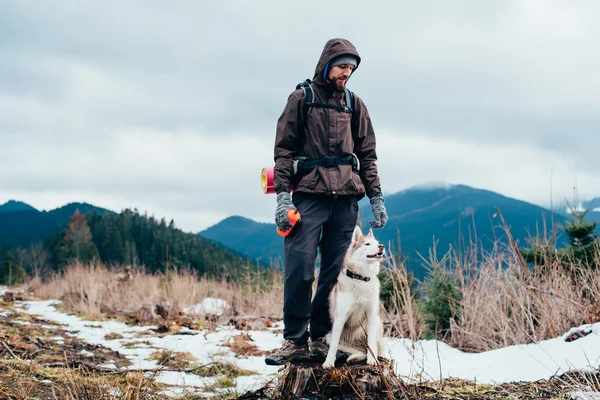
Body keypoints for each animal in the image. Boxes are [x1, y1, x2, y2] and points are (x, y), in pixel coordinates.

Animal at [324, 225, 384, 368]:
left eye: (377, 242)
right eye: (367, 244)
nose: (381, 246)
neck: (361, 279)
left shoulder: (371, 314)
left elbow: (371, 343)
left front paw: (372, 360)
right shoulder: (340, 317)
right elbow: (333, 347)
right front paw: (328, 362)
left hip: (378, 323)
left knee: (370, 348)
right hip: (329, 336)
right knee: (358, 350)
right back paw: (354, 358)